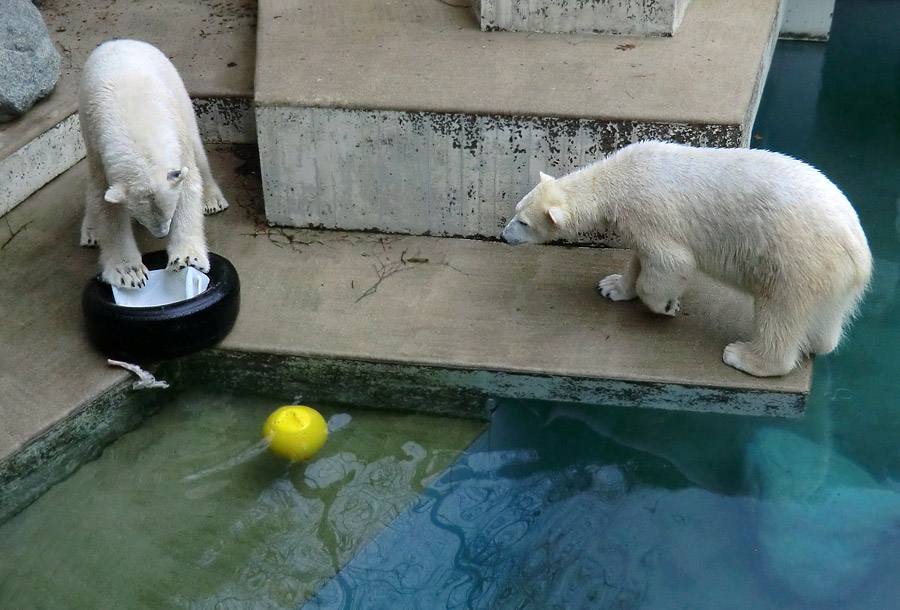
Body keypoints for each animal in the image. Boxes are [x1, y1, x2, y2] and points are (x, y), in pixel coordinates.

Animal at [77, 39, 229, 288]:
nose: (161, 234)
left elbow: (188, 183)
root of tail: (121, 41)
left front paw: (187, 259)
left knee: (198, 151)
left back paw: (212, 200)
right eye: (141, 216)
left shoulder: (176, 133)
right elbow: (106, 204)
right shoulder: (99, 147)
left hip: (178, 88)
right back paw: (92, 231)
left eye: (170, 211)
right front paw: (129, 273)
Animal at [500, 140, 872, 376]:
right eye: (516, 210)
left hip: (795, 259)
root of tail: (859, 254)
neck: (614, 178)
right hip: (830, 277)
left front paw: (665, 305)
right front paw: (613, 286)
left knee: (780, 312)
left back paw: (745, 356)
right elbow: (639, 258)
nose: (504, 236)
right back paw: (819, 342)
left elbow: (671, 262)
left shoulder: (649, 211)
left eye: (523, 222)